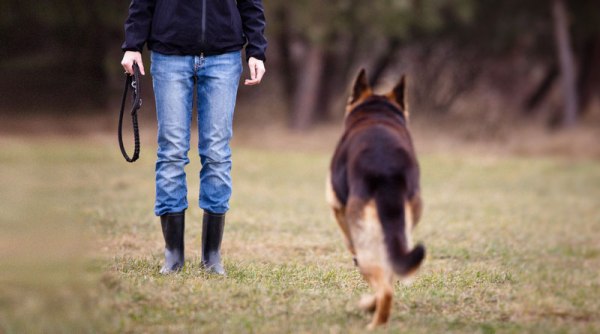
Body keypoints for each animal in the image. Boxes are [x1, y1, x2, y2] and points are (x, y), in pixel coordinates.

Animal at [326, 70, 424, 328]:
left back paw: (373, 322)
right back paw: (371, 308)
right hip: (399, 234)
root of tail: (387, 171)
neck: (377, 113)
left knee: (384, 287)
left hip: (369, 241)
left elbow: (348, 238)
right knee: (390, 277)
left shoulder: (337, 206)